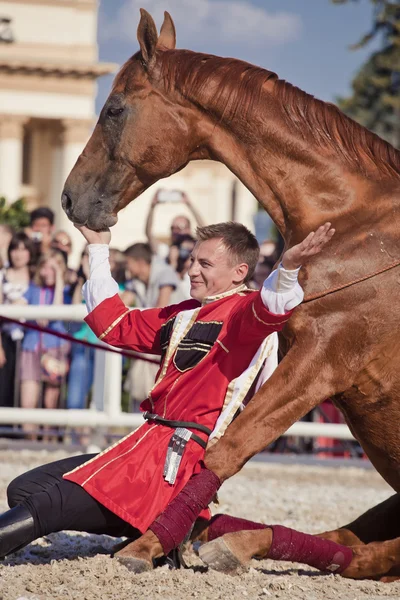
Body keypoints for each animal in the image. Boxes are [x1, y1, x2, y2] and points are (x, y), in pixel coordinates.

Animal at [63, 10, 400, 576]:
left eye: (114, 109)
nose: (70, 199)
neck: (359, 226)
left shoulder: (322, 362)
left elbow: (226, 450)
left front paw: (147, 544)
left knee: (366, 555)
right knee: (351, 541)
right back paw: (231, 539)